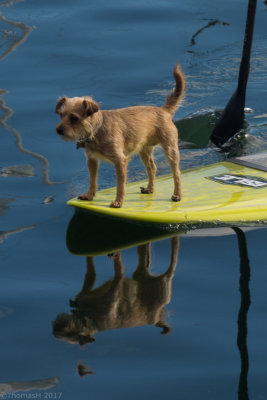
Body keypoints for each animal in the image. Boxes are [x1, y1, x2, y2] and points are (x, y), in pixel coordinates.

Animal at [56, 64, 186, 208]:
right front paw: (89, 195)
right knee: (152, 168)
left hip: (170, 149)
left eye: (74, 118)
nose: (58, 130)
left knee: (177, 173)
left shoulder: (120, 161)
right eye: (61, 115)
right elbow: (92, 180)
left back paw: (177, 194)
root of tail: (164, 110)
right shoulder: (92, 160)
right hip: (144, 150)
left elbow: (120, 185)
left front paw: (118, 201)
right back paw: (150, 189)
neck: (97, 130)